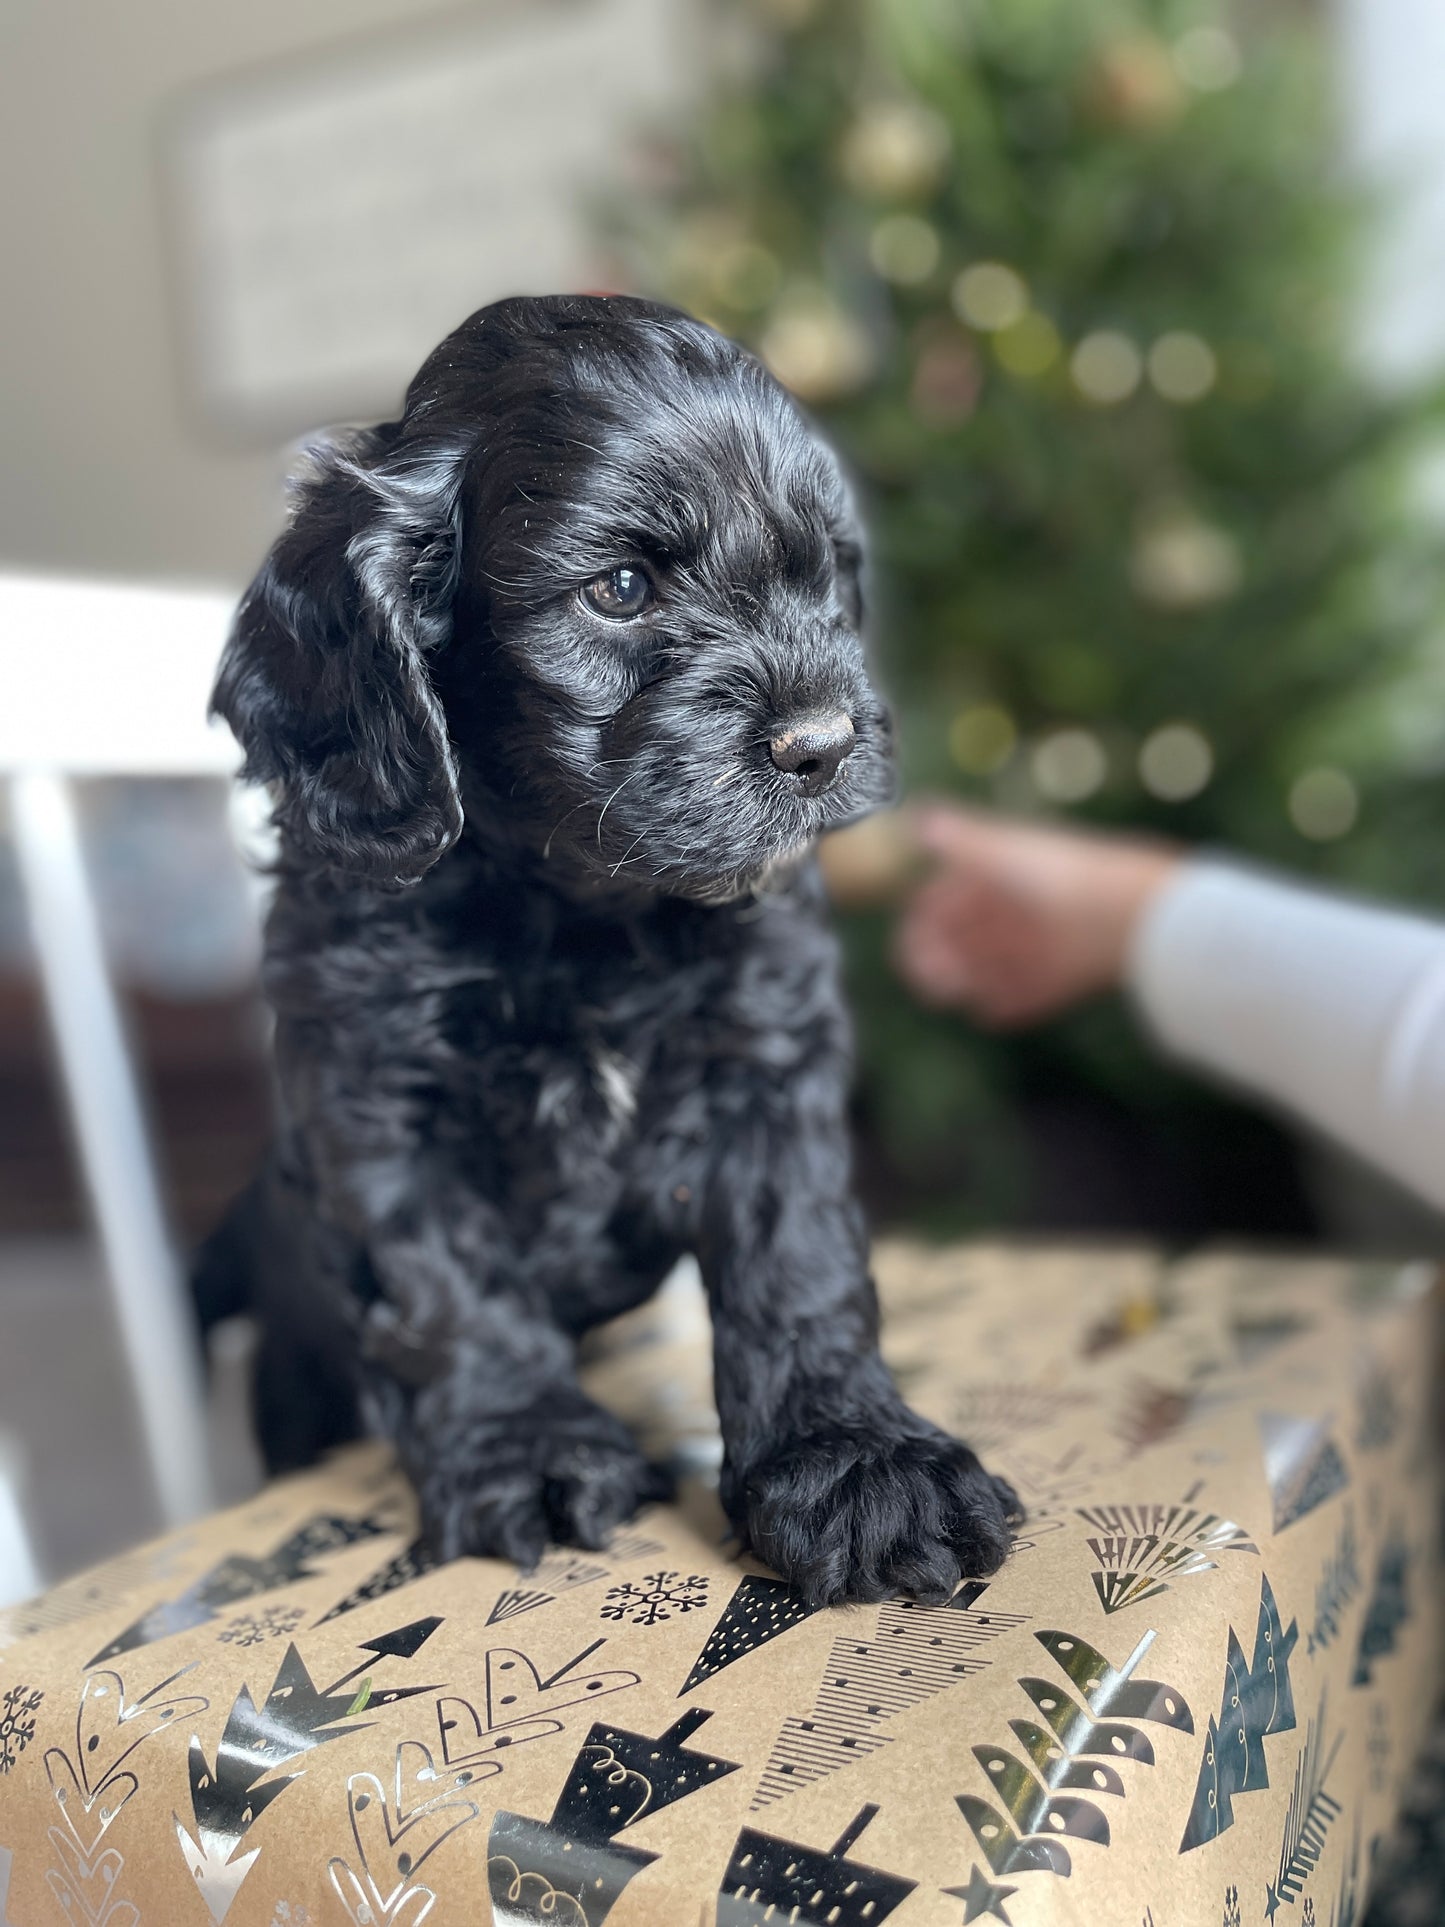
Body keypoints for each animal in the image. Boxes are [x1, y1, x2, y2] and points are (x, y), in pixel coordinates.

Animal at [201, 289, 1017, 1610]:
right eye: (620, 587)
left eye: (820, 576)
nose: (824, 742)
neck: (581, 909)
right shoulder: (380, 1098)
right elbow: (450, 1283)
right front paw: (524, 1449)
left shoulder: (763, 1061)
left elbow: (796, 1263)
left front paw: (855, 1462)